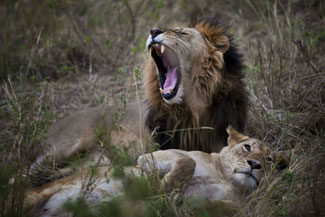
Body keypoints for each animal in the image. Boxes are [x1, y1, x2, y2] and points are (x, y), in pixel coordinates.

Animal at [26, 126, 288, 216]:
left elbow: (232, 209)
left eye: (269, 160)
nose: (255, 165)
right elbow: (187, 162)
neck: (224, 178)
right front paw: (163, 187)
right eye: (247, 147)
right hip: (35, 194)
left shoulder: (226, 203)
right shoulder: (152, 156)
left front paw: (175, 202)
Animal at [31, 19, 247, 173]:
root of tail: (52, 126)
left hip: (91, 161)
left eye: (182, 32)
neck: (191, 109)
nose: (153, 31)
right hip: (62, 148)